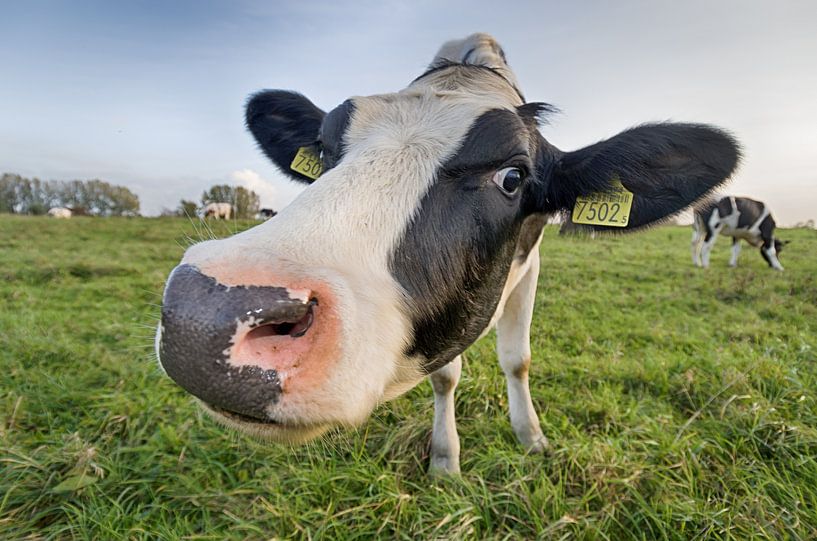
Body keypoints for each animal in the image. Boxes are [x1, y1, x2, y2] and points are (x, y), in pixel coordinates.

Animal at [155, 33, 740, 472]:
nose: (206, 315)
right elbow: (445, 375)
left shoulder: (531, 263)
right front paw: (444, 458)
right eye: (322, 150)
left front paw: (531, 437)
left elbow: (517, 359)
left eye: (513, 177)